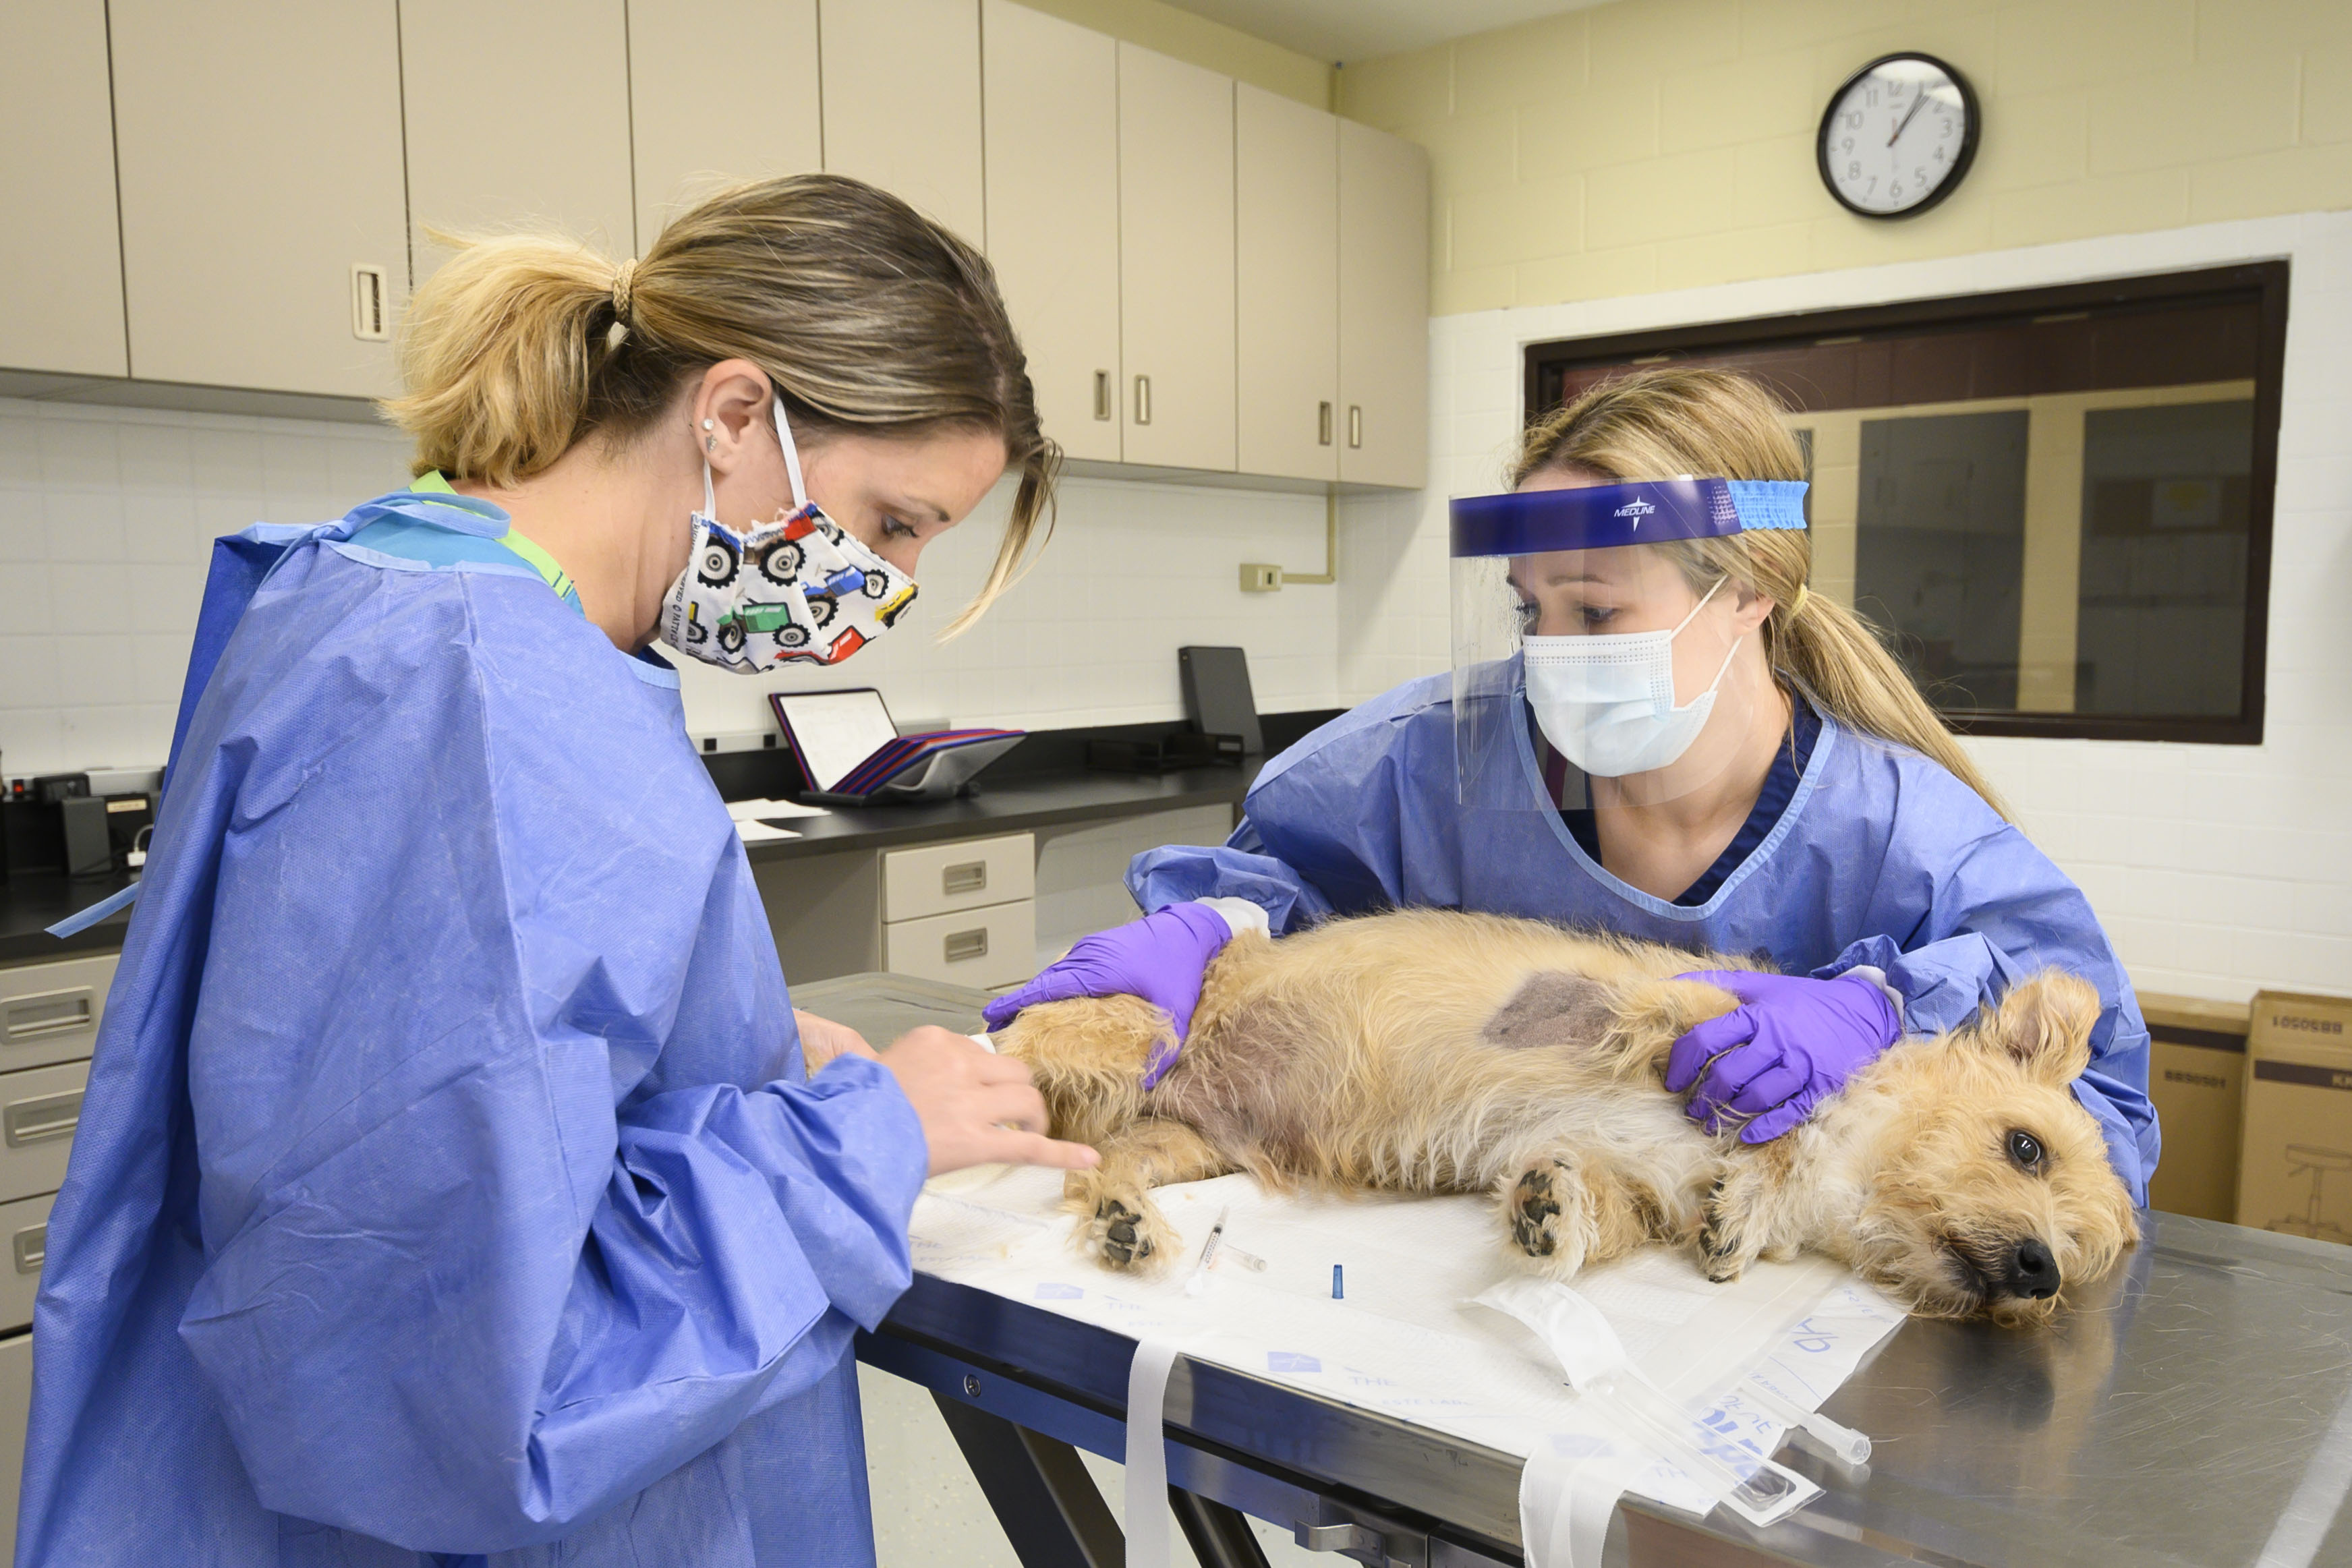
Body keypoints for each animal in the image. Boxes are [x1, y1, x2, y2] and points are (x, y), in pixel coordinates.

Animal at [983, 907, 2145, 1325]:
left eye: (2075, 1266)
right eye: (2024, 1146)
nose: (2037, 1272)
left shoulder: (1627, 1177)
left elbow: (1604, 1207)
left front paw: (1554, 1217)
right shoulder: (1671, 1017)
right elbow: (1704, 1050)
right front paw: (1754, 1194)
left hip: (1182, 1140)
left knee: (1099, 1167)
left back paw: (1126, 1224)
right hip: (1122, 1030)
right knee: (1011, 1049)